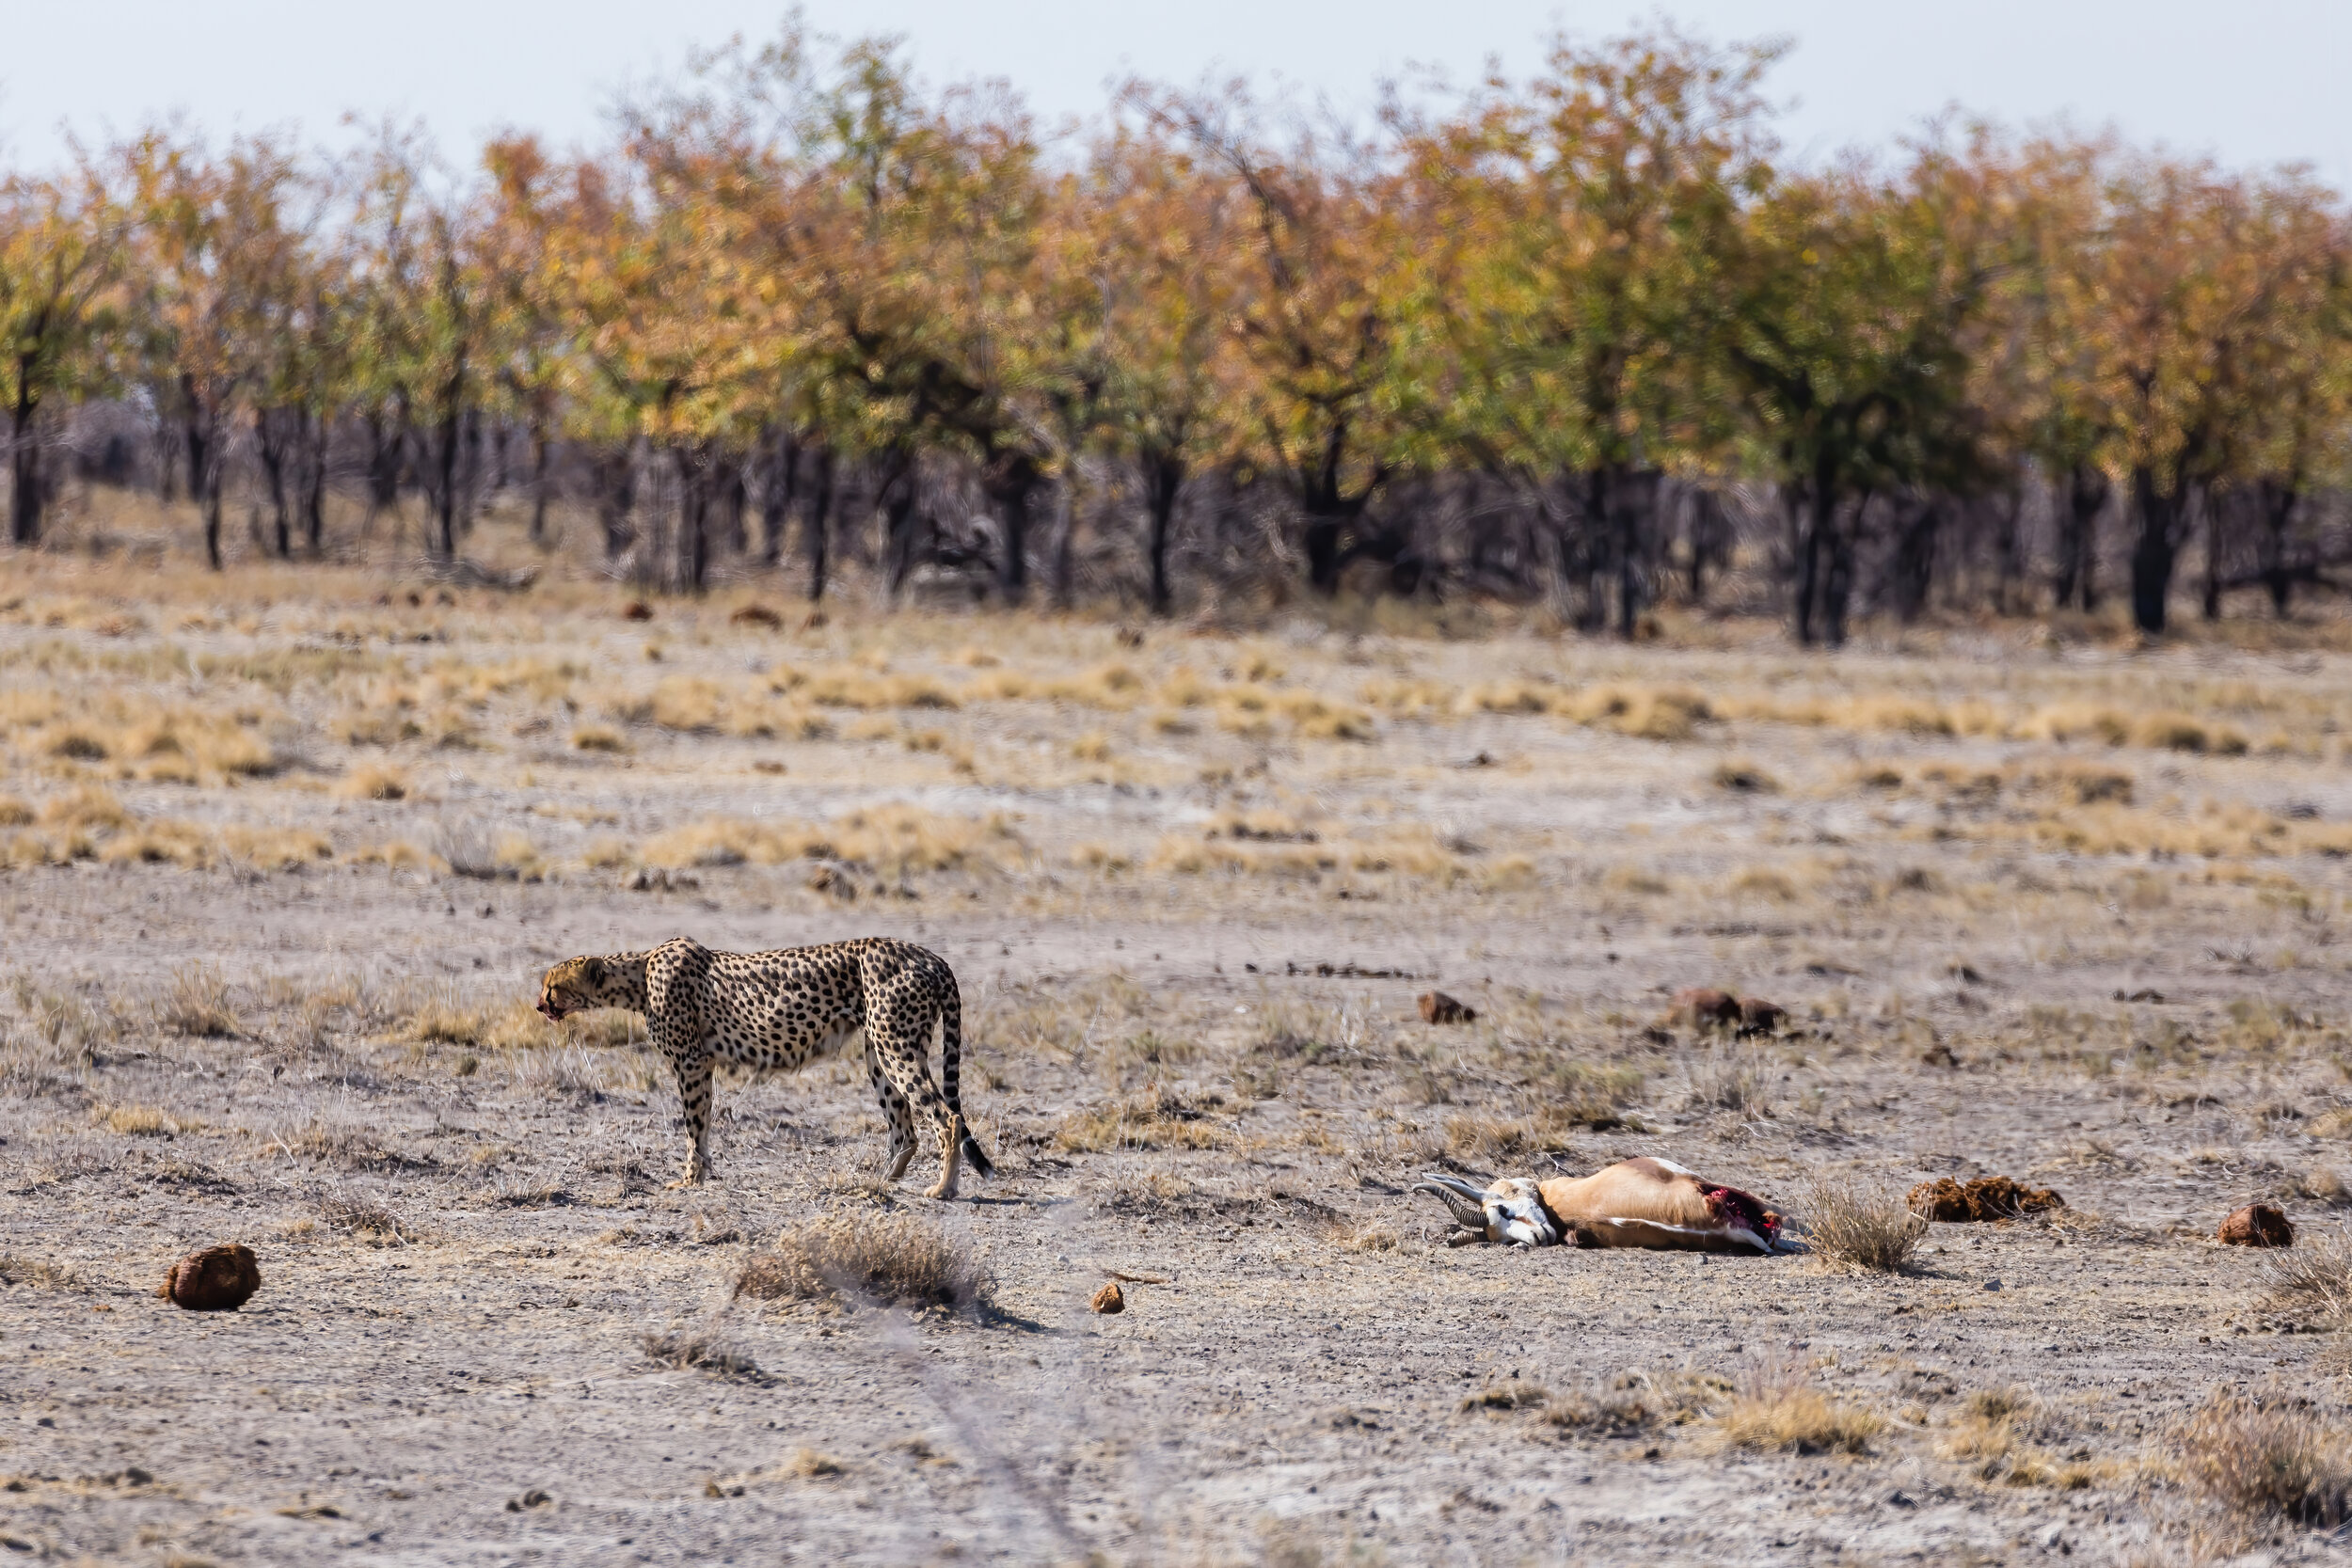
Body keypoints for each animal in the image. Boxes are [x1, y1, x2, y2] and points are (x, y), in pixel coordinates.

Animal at [533, 930, 993, 1203]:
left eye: (552, 986)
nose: (539, 1005)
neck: (640, 972)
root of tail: (929, 955)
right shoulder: (703, 1063)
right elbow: (702, 1124)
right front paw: (702, 1174)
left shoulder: (691, 1061)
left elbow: (693, 1124)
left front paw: (690, 1178)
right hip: (877, 1051)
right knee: (906, 1128)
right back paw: (881, 1181)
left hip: (895, 1044)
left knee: (947, 1116)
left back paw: (943, 1188)